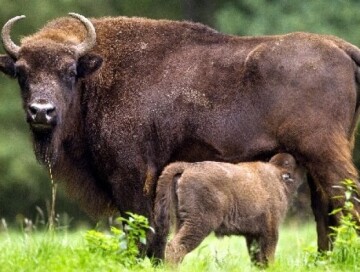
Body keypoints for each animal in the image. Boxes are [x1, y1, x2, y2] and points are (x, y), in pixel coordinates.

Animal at [155, 153, 306, 266]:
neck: (278, 176)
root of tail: (188, 166)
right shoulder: (270, 231)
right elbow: (267, 256)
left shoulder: (253, 235)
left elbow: (256, 258)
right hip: (199, 224)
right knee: (175, 247)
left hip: (181, 222)